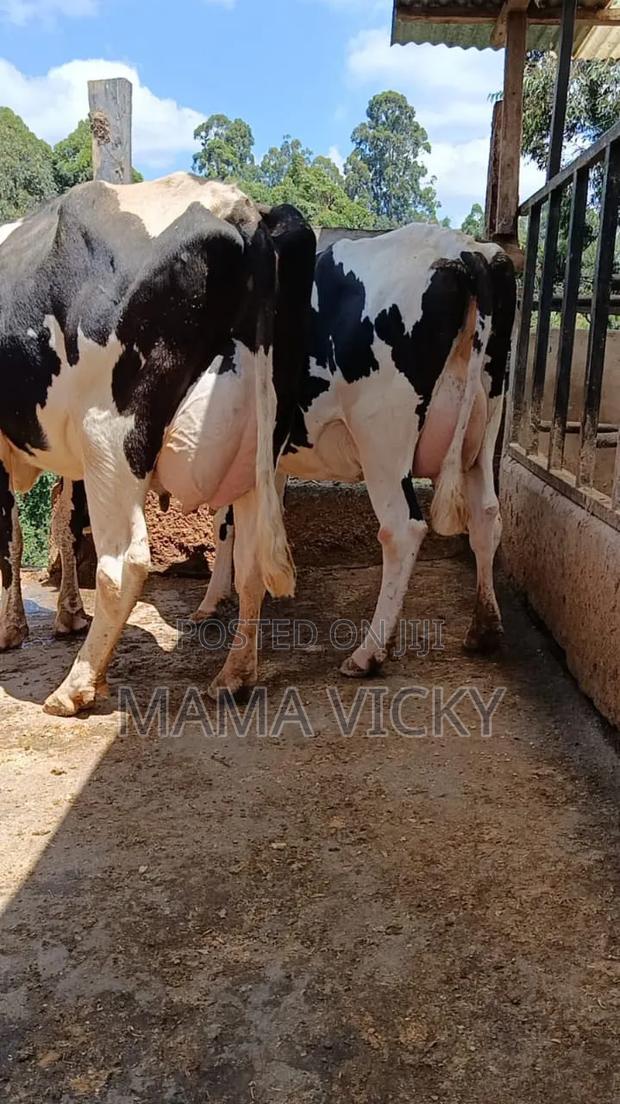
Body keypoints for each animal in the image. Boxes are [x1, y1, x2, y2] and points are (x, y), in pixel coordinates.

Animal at [0, 173, 316, 715]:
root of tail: (237, 205)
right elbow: (53, 525)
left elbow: (10, 538)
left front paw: (13, 629)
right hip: (262, 445)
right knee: (252, 561)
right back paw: (233, 677)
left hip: (110, 436)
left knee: (124, 563)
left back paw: (76, 686)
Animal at [191, 225, 516, 674]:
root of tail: (465, 249)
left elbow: (228, 522)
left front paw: (214, 605)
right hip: (483, 432)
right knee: (486, 516)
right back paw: (484, 629)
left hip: (382, 438)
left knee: (402, 529)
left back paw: (367, 652)